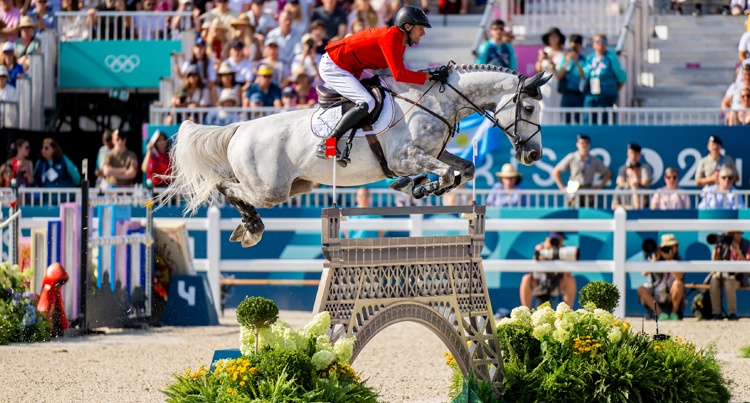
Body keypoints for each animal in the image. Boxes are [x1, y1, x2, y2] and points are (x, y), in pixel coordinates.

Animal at [164, 63, 548, 248]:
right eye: (528, 107)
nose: (533, 154)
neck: (442, 101)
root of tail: (240, 127)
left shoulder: (433, 153)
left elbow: (463, 169)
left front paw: (420, 186)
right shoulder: (405, 156)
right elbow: (443, 173)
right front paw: (419, 186)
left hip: (295, 187)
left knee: (232, 187)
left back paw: (246, 227)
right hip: (269, 189)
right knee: (225, 186)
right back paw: (252, 225)